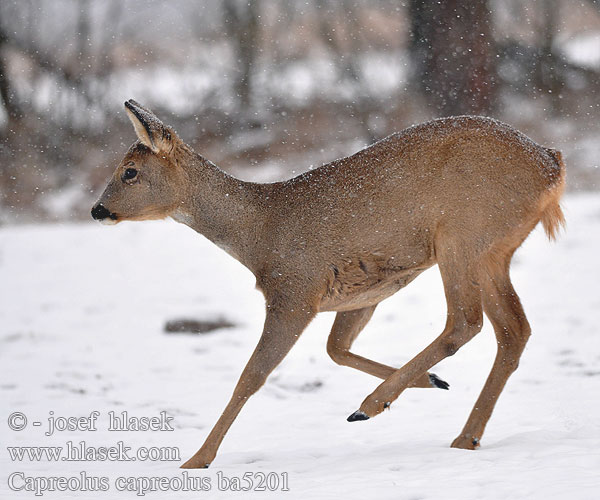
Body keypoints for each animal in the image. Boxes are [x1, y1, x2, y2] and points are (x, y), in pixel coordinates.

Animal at [91, 100, 564, 468]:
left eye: (129, 172)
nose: (97, 210)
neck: (259, 234)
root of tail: (551, 165)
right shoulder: (364, 291)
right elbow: (336, 349)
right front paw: (430, 381)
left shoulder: (295, 291)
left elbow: (251, 376)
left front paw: (197, 459)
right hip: (493, 250)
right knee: (513, 329)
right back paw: (462, 434)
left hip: (462, 233)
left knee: (466, 321)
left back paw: (370, 407)